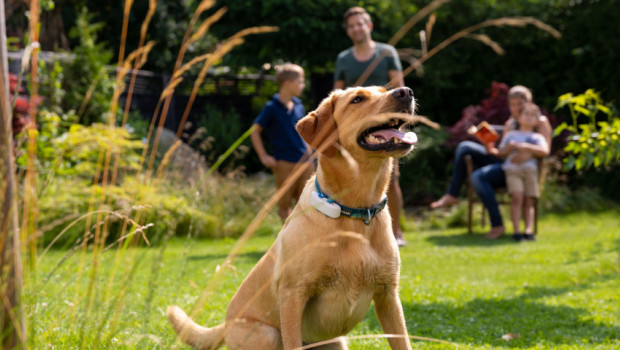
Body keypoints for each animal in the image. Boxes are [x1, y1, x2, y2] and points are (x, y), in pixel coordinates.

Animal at [170, 85, 416, 350]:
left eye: (383, 89)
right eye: (357, 99)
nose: (405, 92)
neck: (356, 212)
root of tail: (225, 325)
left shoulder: (388, 296)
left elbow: (404, 342)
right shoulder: (293, 294)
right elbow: (292, 341)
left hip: (336, 341)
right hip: (267, 335)